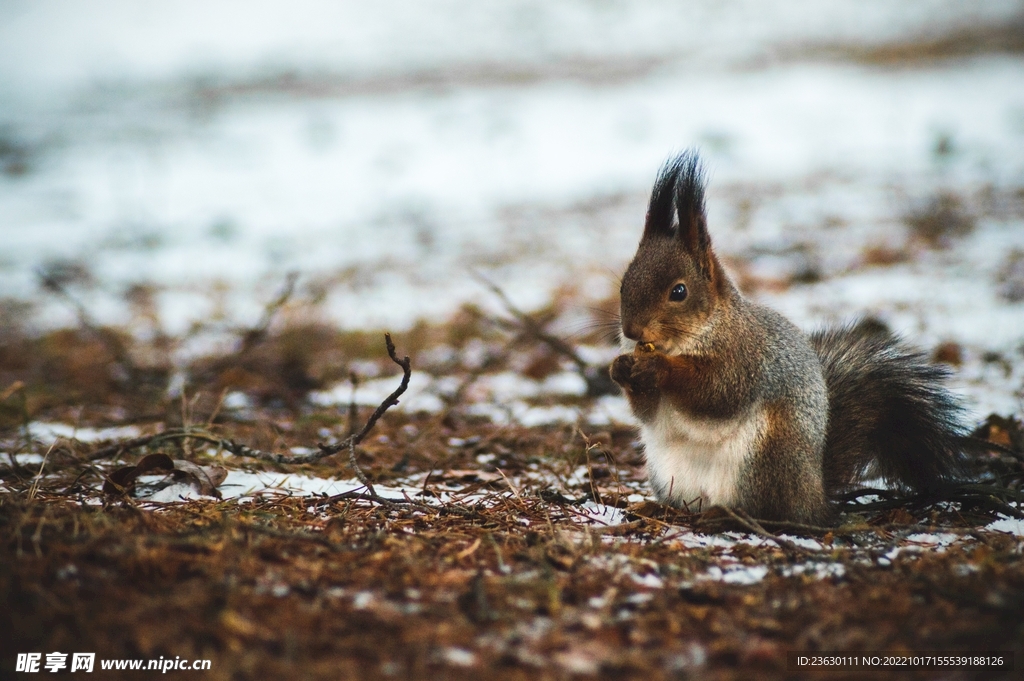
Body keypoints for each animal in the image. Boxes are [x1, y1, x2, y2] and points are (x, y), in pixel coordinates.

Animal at [606, 150, 966, 520]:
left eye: (679, 292)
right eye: (623, 285)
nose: (631, 331)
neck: (692, 337)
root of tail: (814, 492)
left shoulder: (745, 358)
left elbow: (716, 391)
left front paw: (658, 368)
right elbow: (647, 412)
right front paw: (619, 368)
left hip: (768, 455)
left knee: (769, 509)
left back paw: (728, 513)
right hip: (669, 473)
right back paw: (660, 507)